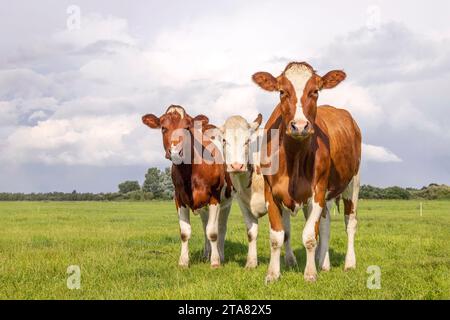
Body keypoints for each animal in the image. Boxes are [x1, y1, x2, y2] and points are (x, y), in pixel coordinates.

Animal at [142, 105, 232, 268]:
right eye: (163, 128)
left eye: (186, 127)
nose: (175, 152)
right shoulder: (179, 198)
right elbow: (185, 232)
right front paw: (183, 261)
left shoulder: (214, 197)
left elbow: (213, 232)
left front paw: (215, 262)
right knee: (205, 226)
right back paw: (206, 254)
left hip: (227, 201)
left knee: (221, 227)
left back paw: (220, 255)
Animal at [253, 61, 362, 282]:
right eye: (282, 91)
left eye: (315, 91)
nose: (300, 126)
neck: (293, 157)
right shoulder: (270, 192)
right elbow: (277, 236)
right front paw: (272, 274)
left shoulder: (317, 190)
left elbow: (310, 236)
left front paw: (310, 273)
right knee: (326, 224)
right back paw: (324, 263)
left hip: (353, 183)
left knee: (350, 222)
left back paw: (349, 263)